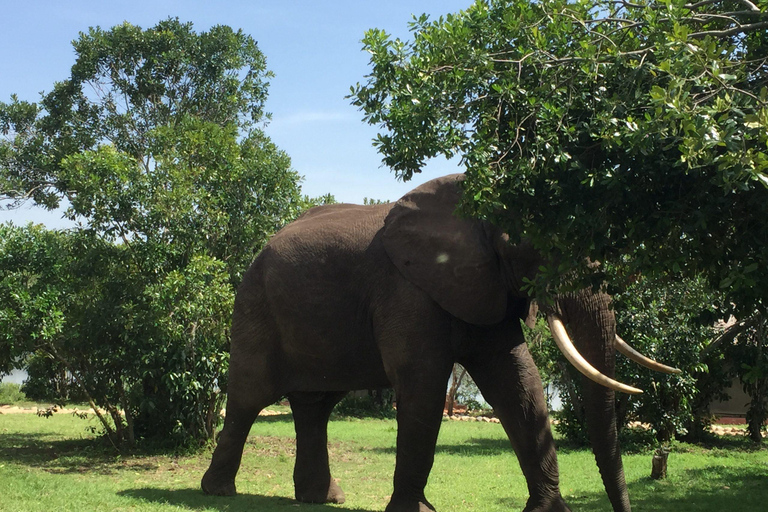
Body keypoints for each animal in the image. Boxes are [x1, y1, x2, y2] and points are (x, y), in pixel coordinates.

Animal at [201, 173, 680, 512]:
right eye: (536, 246)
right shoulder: (406, 289)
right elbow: (423, 384)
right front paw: (414, 511)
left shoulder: (483, 284)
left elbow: (518, 383)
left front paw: (549, 511)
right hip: (255, 306)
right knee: (248, 396)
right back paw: (218, 492)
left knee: (315, 405)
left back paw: (324, 499)